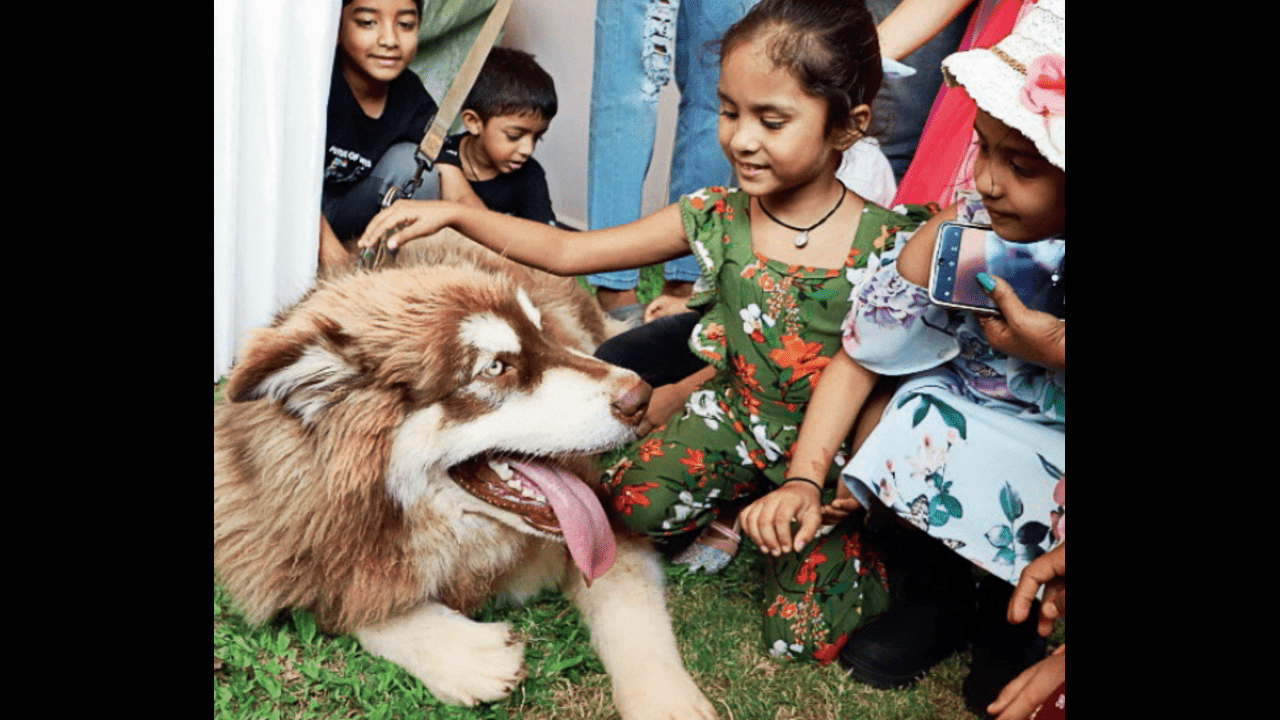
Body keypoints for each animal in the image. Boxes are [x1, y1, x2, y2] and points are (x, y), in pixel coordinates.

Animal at [215, 233, 716, 712]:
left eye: (542, 335)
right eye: (495, 367)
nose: (642, 397)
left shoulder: (609, 520)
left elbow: (631, 615)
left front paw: (668, 703)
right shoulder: (272, 547)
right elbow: (351, 602)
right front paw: (466, 654)